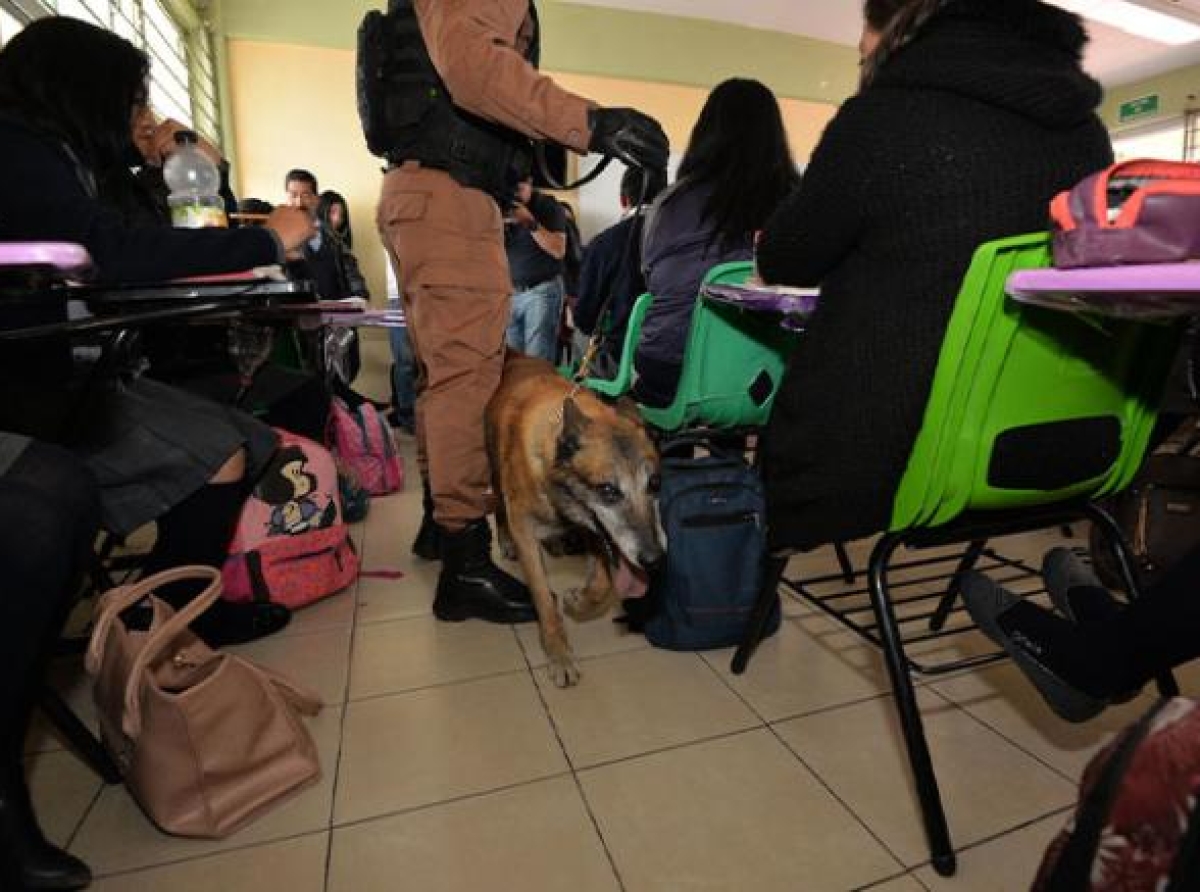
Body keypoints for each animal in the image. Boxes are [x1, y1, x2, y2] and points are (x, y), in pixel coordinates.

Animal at [484, 352, 667, 686]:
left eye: (655, 484)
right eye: (608, 490)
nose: (654, 560)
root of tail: (515, 355)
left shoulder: (594, 533)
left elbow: (603, 582)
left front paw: (581, 601)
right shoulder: (525, 531)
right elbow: (543, 599)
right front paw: (558, 653)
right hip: (494, 473)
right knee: (498, 507)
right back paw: (506, 540)